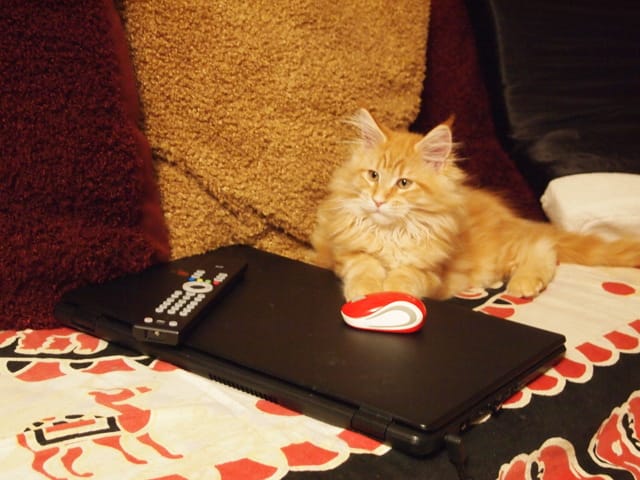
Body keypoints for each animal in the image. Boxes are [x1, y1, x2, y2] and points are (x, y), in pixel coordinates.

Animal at [311, 108, 640, 301]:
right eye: (373, 175)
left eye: (404, 183)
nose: (378, 200)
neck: (392, 234)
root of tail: (509, 217)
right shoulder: (345, 253)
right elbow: (364, 267)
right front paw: (367, 292)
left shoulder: (430, 271)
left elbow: (406, 277)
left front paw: (391, 294)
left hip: (503, 251)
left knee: (543, 245)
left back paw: (524, 283)